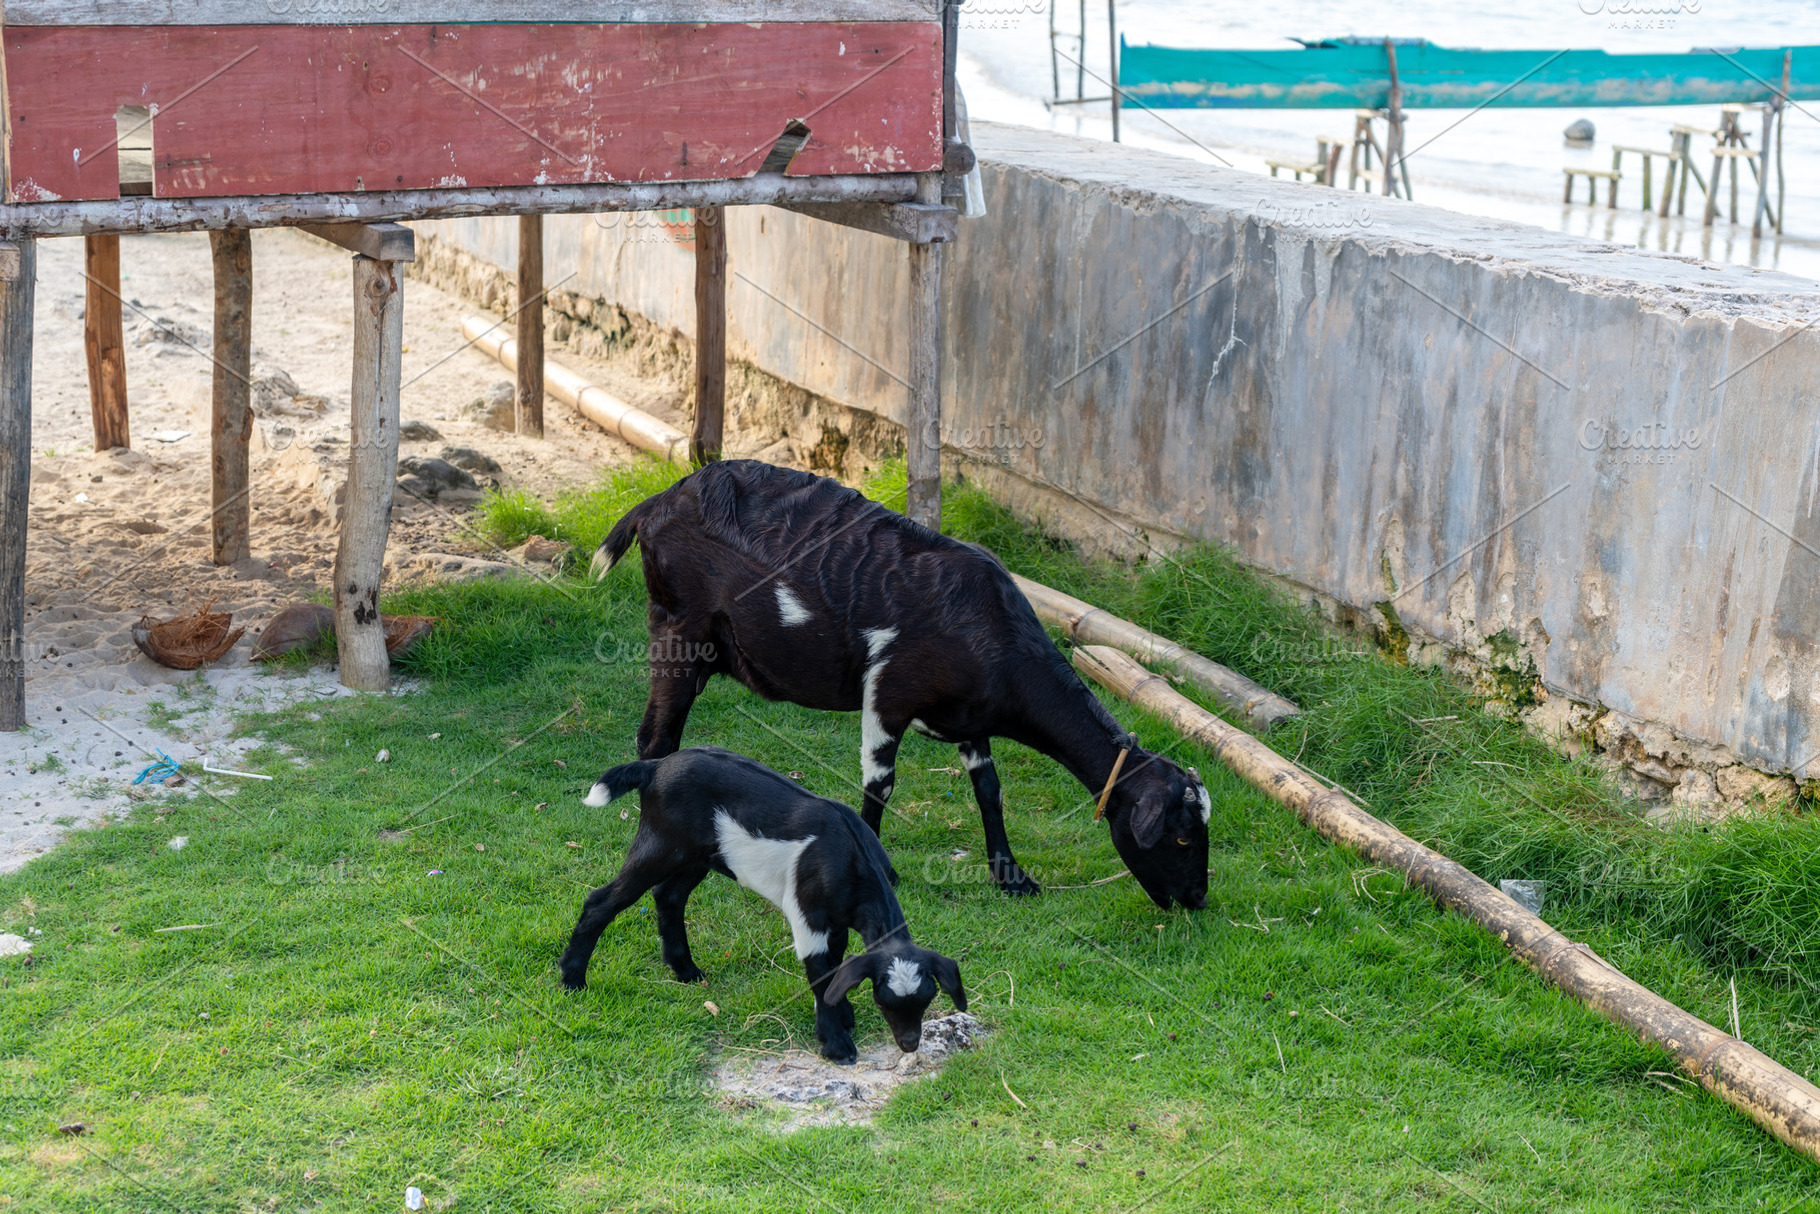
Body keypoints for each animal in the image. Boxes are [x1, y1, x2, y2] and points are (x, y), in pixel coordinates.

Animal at [559, 746, 967, 1064]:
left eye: (926, 1000)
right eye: (884, 1002)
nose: (909, 1044)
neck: (850, 858)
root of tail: (656, 766)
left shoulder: (836, 921)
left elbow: (836, 965)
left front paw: (843, 1016)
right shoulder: (807, 914)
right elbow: (819, 973)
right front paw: (837, 1045)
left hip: (697, 856)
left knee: (669, 896)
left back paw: (685, 971)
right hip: (660, 843)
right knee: (602, 901)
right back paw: (572, 979)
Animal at [590, 460, 1212, 911]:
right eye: (1182, 836)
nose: (1197, 900)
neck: (992, 631)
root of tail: (658, 501)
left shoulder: (969, 715)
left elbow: (989, 790)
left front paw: (1011, 876)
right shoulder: (886, 696)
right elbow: (879, 787)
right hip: (678, 630)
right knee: (656, 738)